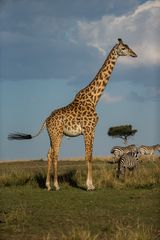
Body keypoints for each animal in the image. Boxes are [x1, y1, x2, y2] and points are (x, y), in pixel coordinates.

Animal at [8, 38, 137, 190]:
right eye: (123, 48)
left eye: (128, 46)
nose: (134, 54)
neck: (94, 99)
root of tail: (46, 120)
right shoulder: (88, 129)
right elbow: (88, 156)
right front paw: (89, 186)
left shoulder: (92, 131)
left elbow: (90, 155)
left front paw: (91, 184)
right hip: (57, 134)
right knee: (55, 155)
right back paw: (56, 185)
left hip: (52, 135)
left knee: (49, 154)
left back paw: (48, 185)